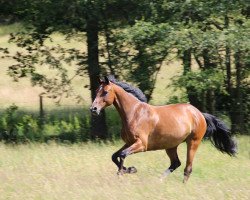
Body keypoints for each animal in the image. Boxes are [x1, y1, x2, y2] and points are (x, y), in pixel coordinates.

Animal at [90, 75, 236, 183]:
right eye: (97, 91)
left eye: (105, 92)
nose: (93, 109)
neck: (134, 113)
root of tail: (199, 114)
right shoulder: (129, 142)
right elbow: (115, 156)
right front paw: (130, 170)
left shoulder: (141, 144)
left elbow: (122, 154)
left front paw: (125, 172)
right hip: (171, 146)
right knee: (176, 163)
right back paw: (159, 180)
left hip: (193, 142)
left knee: (187, 168)